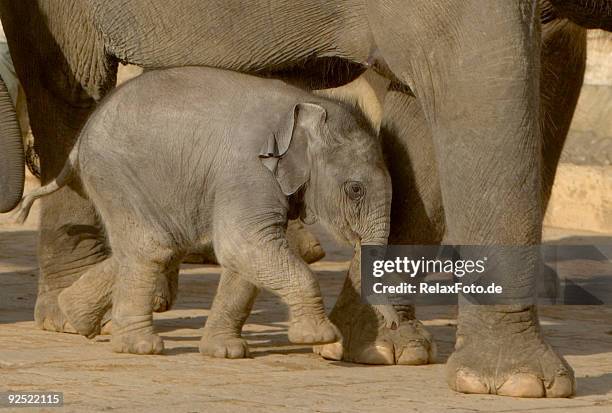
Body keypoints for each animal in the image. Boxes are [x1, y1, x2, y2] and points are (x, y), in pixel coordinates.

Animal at [15, 67, 396, 354]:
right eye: (355, 190)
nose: (391, 324)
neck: (308, 103)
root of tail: (80, 140)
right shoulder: (248, 171)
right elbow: (244, 242)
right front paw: (320, 337)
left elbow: (246, 257)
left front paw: (225, 352)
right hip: (115, 174)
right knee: (152, 247)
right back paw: (140, 347)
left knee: (164, 245)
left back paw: (75, 315)